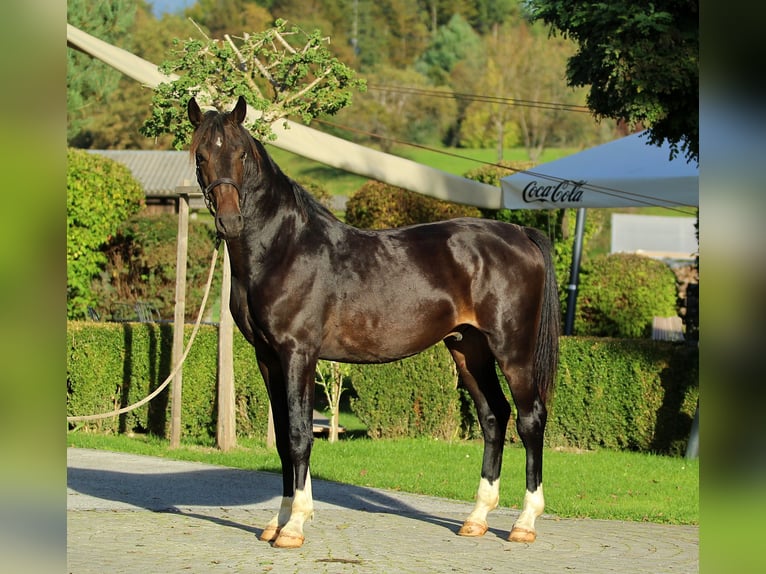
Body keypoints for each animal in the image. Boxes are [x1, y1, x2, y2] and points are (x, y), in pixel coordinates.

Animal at [188, 95, 560, 549]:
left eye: (241, 153)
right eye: (201, 155)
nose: (229, 221)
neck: (284, 248)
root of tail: (520, 234)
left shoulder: (298, 354)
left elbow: (299, 435)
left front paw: (294, 526)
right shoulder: (267, 357)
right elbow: (281, 438)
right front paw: (276, 522)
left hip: (512, 350)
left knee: (530, 419)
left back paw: (524, 522)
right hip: (468, 348)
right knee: (494, 416)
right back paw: (476, 518)